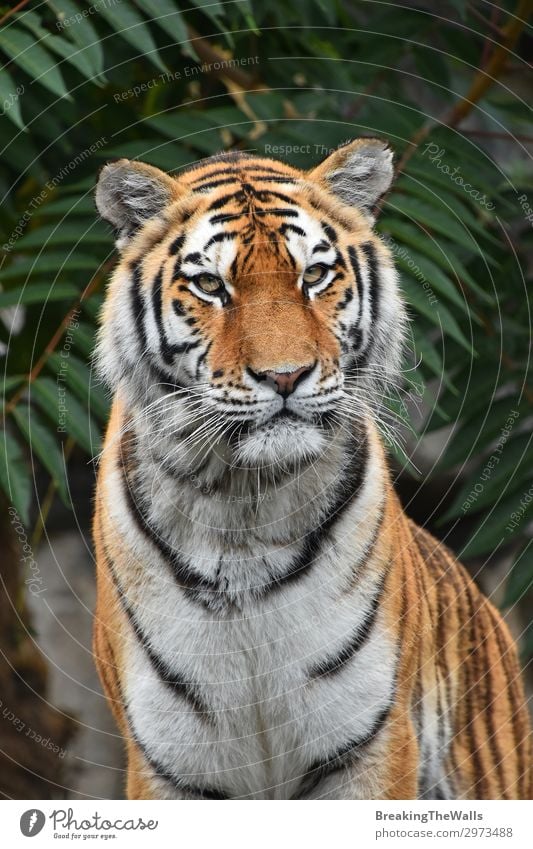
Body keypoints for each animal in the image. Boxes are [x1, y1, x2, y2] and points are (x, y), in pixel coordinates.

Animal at [91, 137, 528, 796]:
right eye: (210, 284)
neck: (241, 504)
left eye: (315, 276)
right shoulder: (170, 762)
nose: (285, 376)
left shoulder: (369, 741)